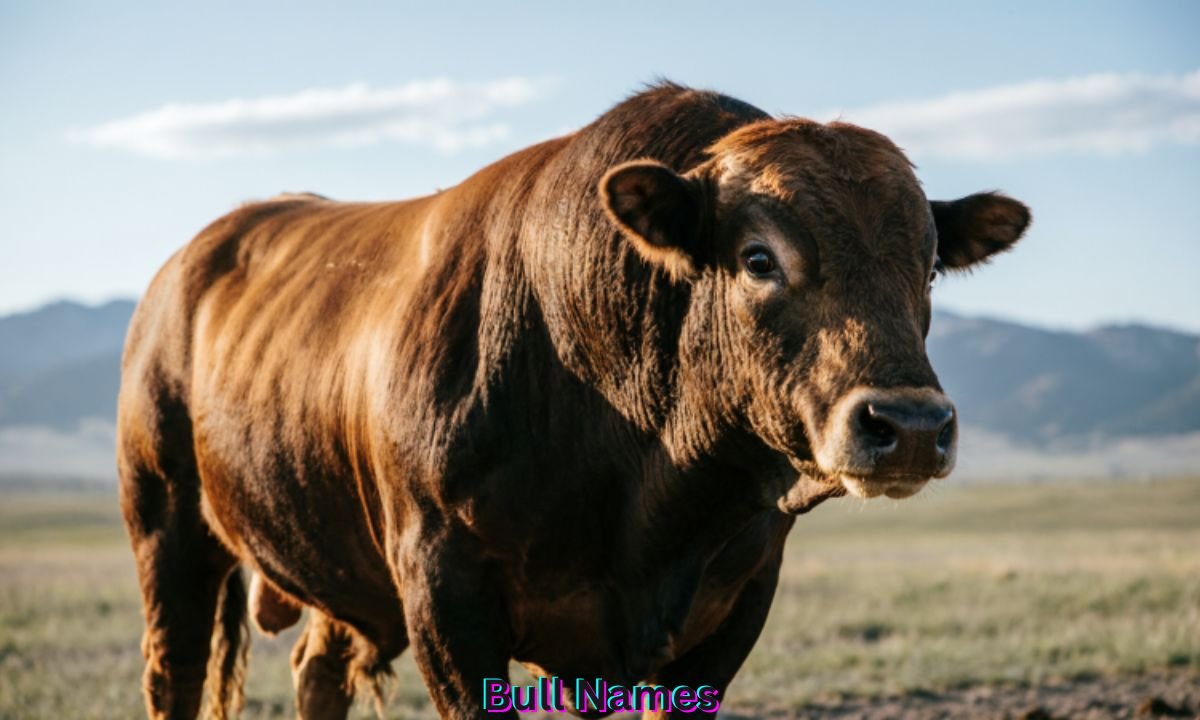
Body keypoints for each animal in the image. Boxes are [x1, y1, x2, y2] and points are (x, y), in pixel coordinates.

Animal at [117, 82, 1029, 720]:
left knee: (320, 671)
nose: (909, 427)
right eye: (759, 257)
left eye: (930, 265)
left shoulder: (733, 603)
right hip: (167, 526)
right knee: (174, 672)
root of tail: (189, 261)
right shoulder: (446, 596)